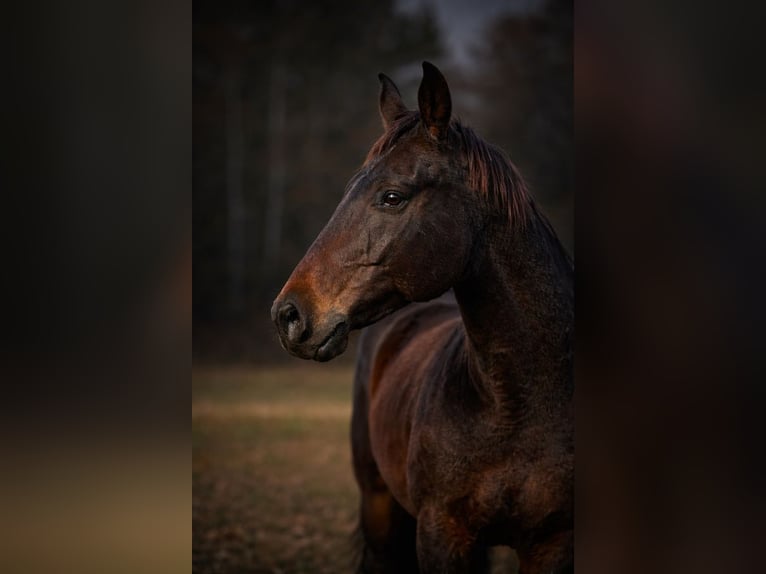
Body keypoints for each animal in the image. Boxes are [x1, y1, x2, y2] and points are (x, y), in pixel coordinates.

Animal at [271, 62, 573, 574]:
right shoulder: (441, 535)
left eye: (392, 196)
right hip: (377, 504)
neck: (518, 406)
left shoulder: (551, 543)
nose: (288, 314)